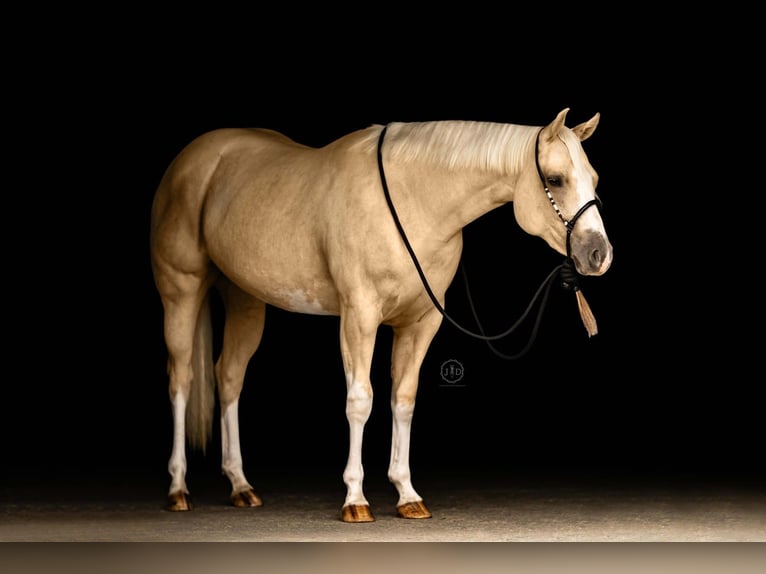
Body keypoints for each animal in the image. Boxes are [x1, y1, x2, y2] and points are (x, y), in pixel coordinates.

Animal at [149, 108, 612, 522]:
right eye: (555, 179)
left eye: (593, 179)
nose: (599, 255)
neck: (414, 201)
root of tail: (191, 160)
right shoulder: (359, 317)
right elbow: (360, 400)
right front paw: (355, 500)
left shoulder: (422, 323)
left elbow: (403, 400)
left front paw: (407, 495)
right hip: (181, 291)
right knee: (181, 379)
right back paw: (178, 489)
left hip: (245, 300)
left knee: (228, 377)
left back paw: (241, 486)